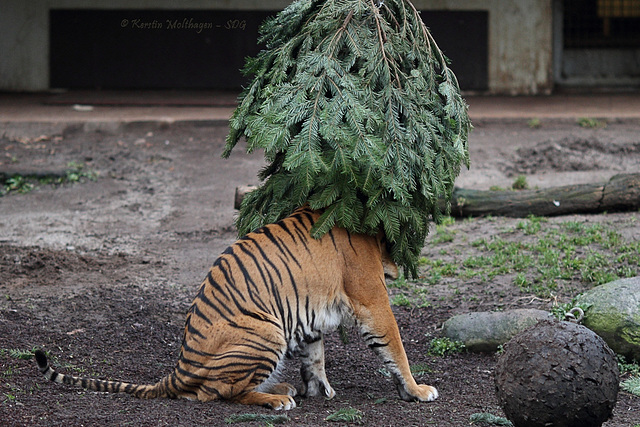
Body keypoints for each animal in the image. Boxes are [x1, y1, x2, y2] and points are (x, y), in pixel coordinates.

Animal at [33, 207, 436, 412]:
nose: (397, 269)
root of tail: (179, 367)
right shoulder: (372, 301)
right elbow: (395, 347)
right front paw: (417, 390)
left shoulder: (310, 315)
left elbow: (315, 354)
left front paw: (319, 388)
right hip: (267, 330)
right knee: (219, 391)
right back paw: (278, 399)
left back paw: (284, 387)